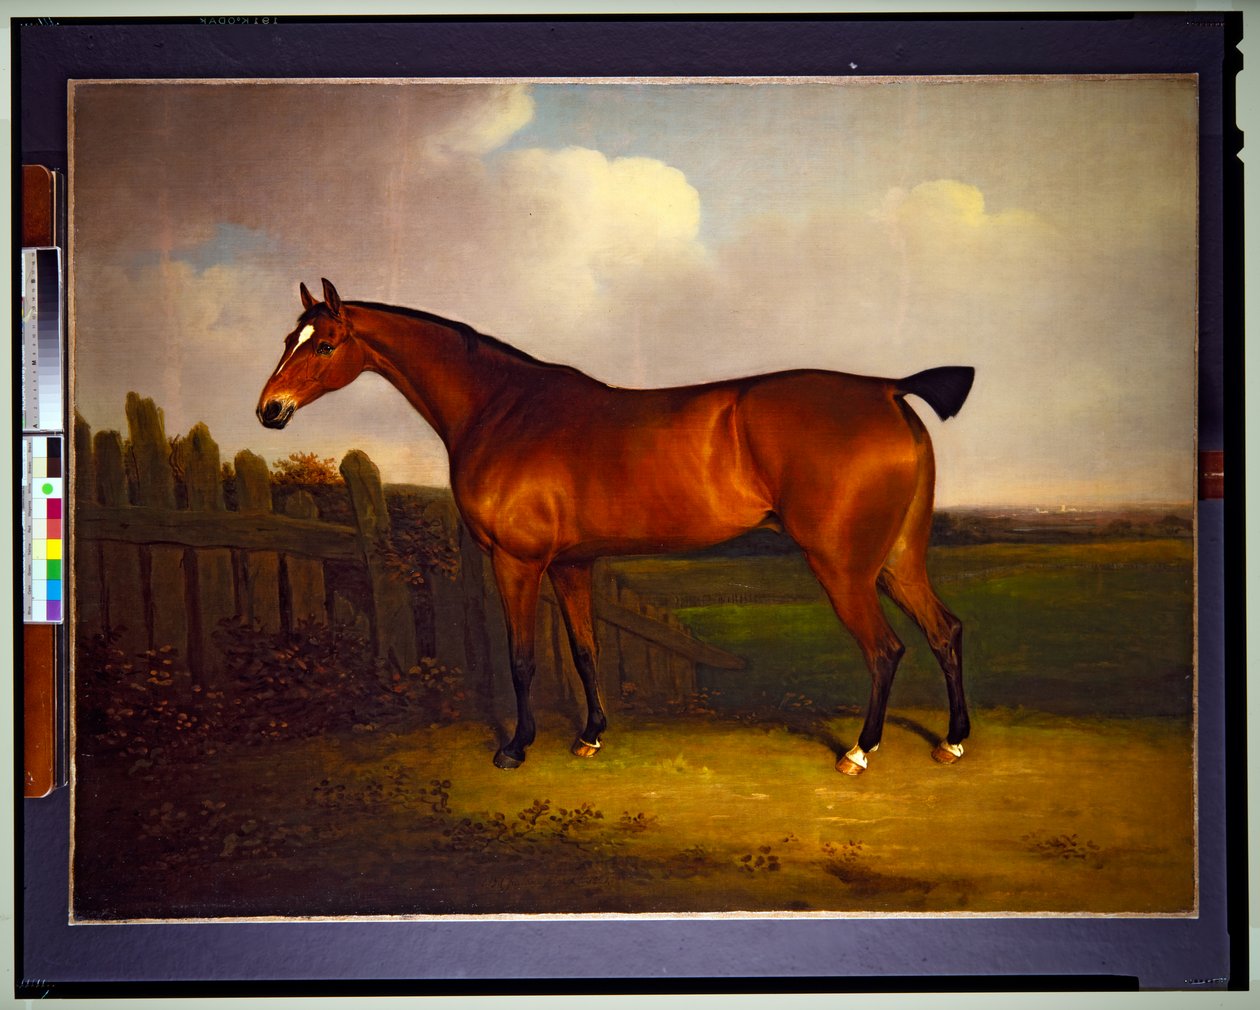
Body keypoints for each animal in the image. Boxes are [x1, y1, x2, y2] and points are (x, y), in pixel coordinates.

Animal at [257, 279, 974, 776]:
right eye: (287, 341)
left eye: (324, 344)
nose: (270, 410)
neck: (503, 408)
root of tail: (886, 390)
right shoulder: (573, 564)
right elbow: (584, 650)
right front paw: (590, 735)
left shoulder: (516, 562)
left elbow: (520, 657)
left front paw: (515, 748)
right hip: (896, 560)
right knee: (944, 631)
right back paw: (952, 742)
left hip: (844, 567)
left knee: (885, 650)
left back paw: (858, 753)